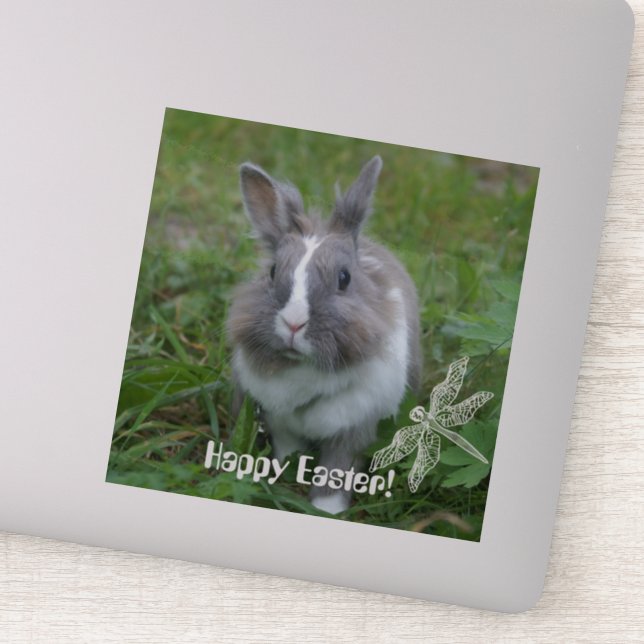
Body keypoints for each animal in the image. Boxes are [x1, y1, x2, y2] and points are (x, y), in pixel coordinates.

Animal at [227, 155, 421, 514]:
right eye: (272, 272)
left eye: (344, 278)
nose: (293, 324)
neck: (305, 370)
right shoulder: (279, 421)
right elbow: (288, 448)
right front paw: (286, 469)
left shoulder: (355, 428)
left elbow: (337, 469)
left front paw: (326, 510)